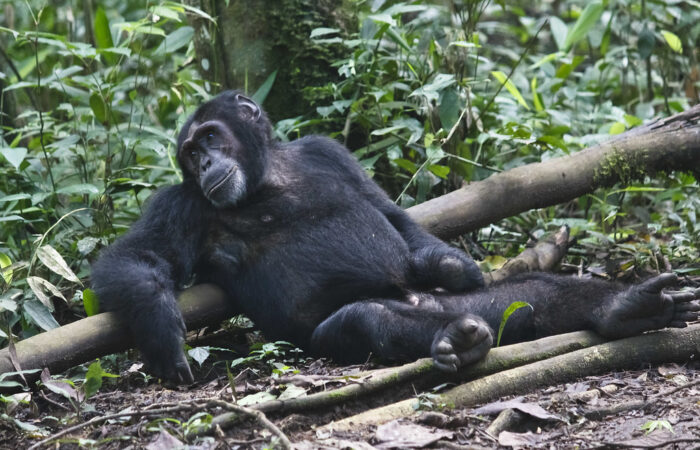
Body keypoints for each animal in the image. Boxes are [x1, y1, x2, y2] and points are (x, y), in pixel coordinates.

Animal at [91, 91, 700, 384]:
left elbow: (391, 213)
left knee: (536, 295)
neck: (270, 178)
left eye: (211, 137)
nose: (205, 161)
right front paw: (164, 336)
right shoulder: (180, 203)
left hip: (470, 300)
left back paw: (629, 306)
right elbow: (137, 257)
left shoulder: (329, 152)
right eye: (190, 151)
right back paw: (455, 338)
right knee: (373, 318)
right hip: (339, 335)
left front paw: (452, 263)